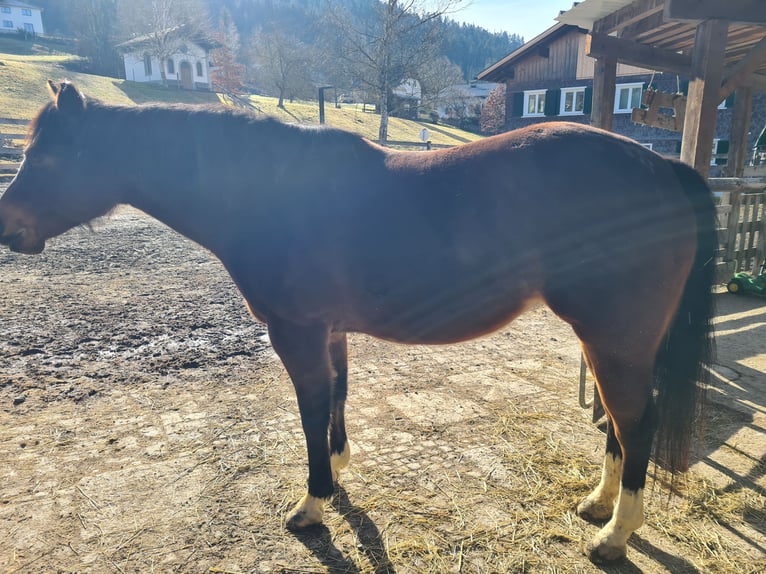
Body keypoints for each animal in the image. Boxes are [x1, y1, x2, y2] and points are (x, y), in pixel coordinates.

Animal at [1, 83, 720, 564]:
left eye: (50, 159)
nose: (9, 231)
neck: (271, 195)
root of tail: (662, 167)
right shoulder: (330, 329)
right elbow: (337, 401)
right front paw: (340, 472)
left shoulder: (294, 331)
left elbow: (310, 411)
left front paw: (313, 505)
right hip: (611, 340)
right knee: (622, 422)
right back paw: (598, 505)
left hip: (614, 337)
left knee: (637, 423)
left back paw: (613, 536)